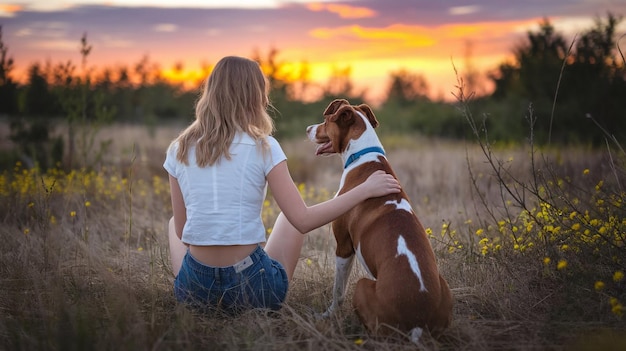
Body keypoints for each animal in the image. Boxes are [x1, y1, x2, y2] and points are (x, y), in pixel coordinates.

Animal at [304, 98, 450, 340]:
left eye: (326, 121)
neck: (363, 154)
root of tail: (418, 321)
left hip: (363, 286)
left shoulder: (344, 246)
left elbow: (338, 291)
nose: (307, 128)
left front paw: (327, 316)